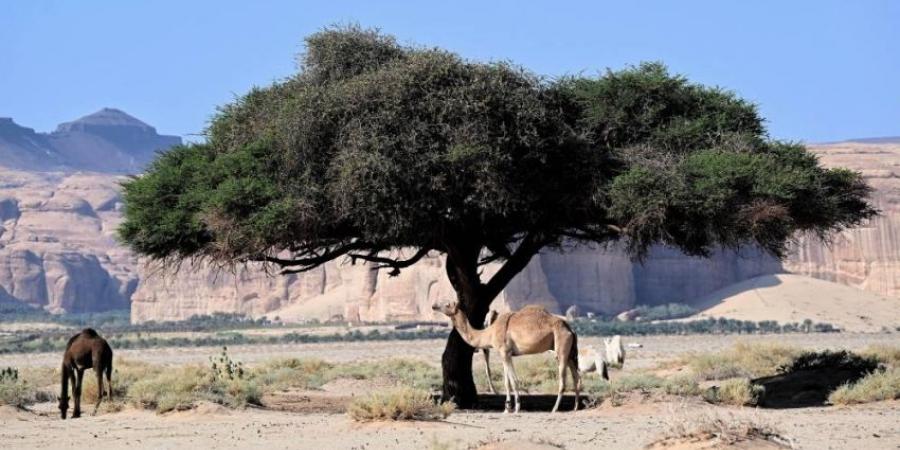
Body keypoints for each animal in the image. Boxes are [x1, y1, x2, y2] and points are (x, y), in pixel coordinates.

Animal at [430, 300, 584, 414]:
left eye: (447, 304)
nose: (434, 305)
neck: (489, 332)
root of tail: (571, 330)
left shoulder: (504, 352)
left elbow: (513, 381)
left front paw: (516, 408)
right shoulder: (506, 354)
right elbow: (507, 382)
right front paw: (507, 408)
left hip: (561, 347)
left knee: (563, 380)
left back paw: (554, 409)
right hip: (570, 352)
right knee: (576, 377)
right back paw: (575, 407)